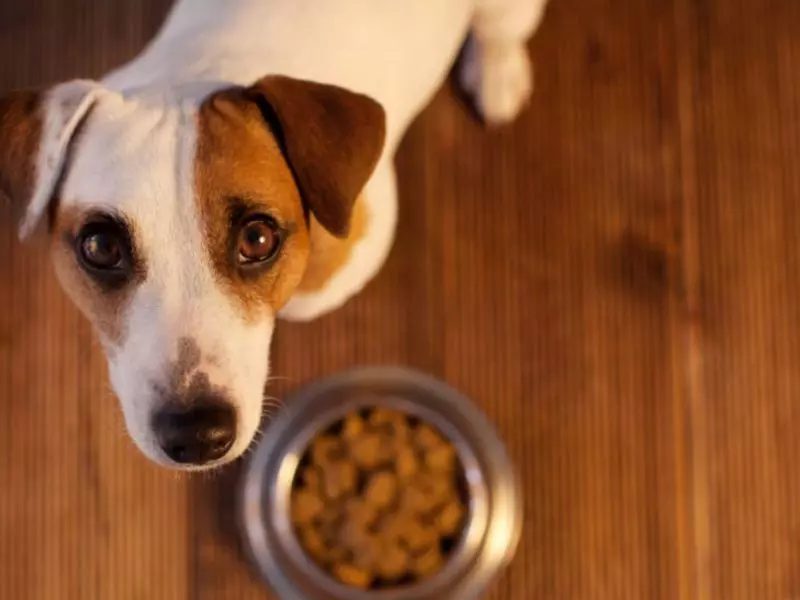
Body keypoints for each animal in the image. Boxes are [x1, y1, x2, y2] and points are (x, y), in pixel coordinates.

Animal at [0, 0, 544, 468]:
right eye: (101, 247)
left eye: (257, 240)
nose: (197, 435)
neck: (195, 71)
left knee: (499, 30)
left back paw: (498, 72)